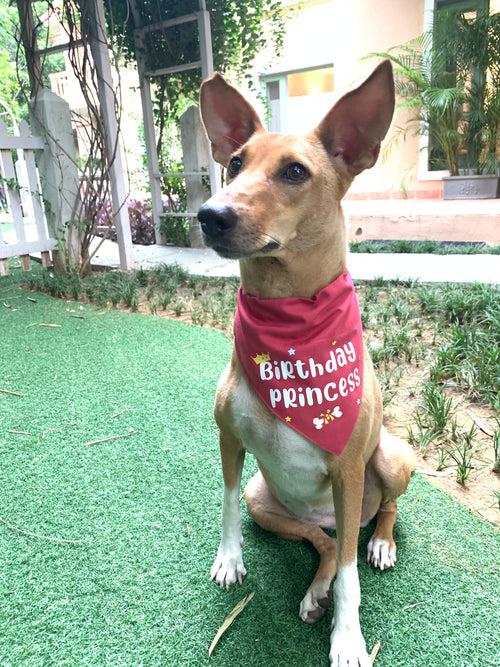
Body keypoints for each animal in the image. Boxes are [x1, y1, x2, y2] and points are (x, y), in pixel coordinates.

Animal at [197, 60, 416, 664]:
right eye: (234, 164)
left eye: (294, 172)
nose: (209, 215)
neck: (290, 324)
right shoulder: (229, 440)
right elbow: (225, 502)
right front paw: (230, 558)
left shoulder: (347, 468)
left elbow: (351, 579)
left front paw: (348, 638)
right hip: (268, 500)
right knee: (324, 544)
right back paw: (316, 586)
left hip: (387, 460)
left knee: (370, 525)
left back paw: (379, 544)